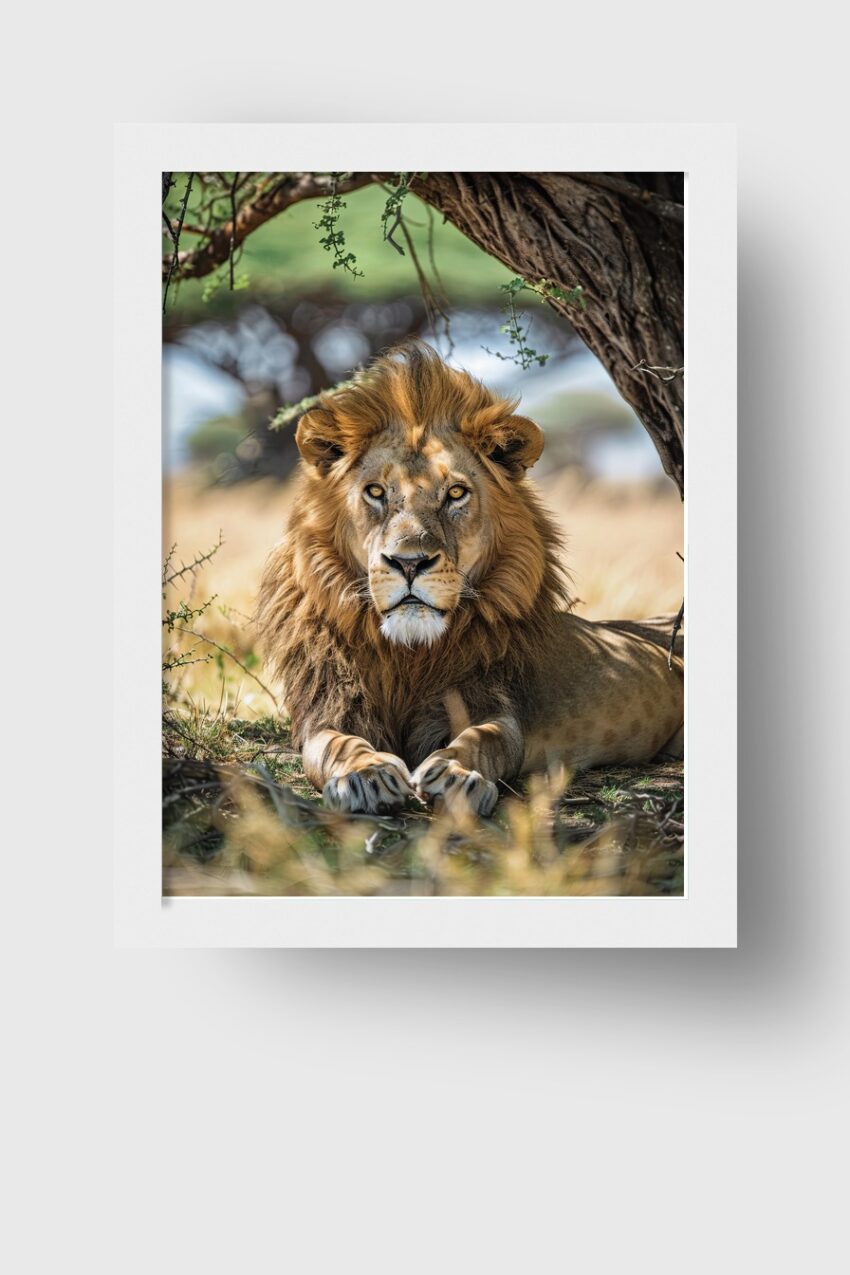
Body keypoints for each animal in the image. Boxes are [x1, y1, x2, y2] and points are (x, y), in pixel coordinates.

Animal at [258, 343, 684, 816]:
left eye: (456, 494)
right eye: (375, 492)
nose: (409, 563)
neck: (408, 655)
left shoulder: (491, 703)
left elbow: (482, 739)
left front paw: (456, 775)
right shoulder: (327, 710)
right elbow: (339, 744)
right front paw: (366, 775)